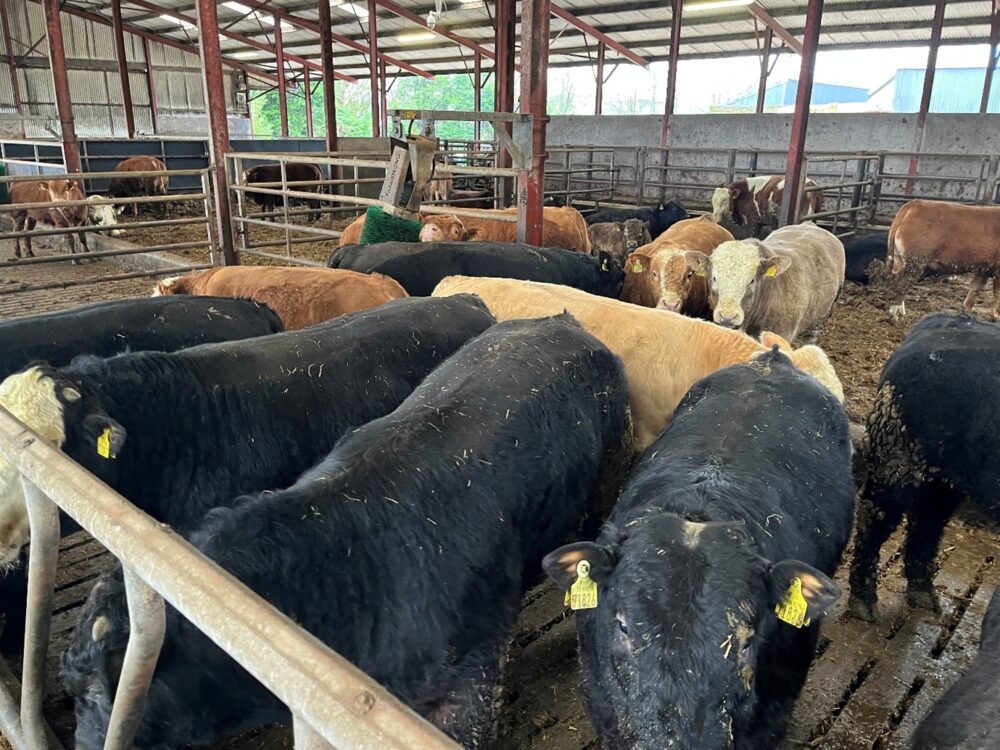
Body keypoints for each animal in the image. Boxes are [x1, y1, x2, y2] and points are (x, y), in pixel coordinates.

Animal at [848, 313, 1000, 623]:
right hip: (897, 458)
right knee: (876, 520)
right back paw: (863, 602)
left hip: (944, 475)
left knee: (926, 521)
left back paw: (922, 592)